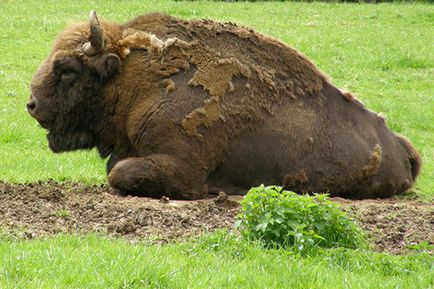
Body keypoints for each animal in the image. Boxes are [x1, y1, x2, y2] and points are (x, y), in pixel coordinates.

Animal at [27, 10, 420, 198]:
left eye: (67, 70)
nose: (32, 104)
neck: (136, 80)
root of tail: (399, 145)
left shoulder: (180, 164)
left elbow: (118, 172)